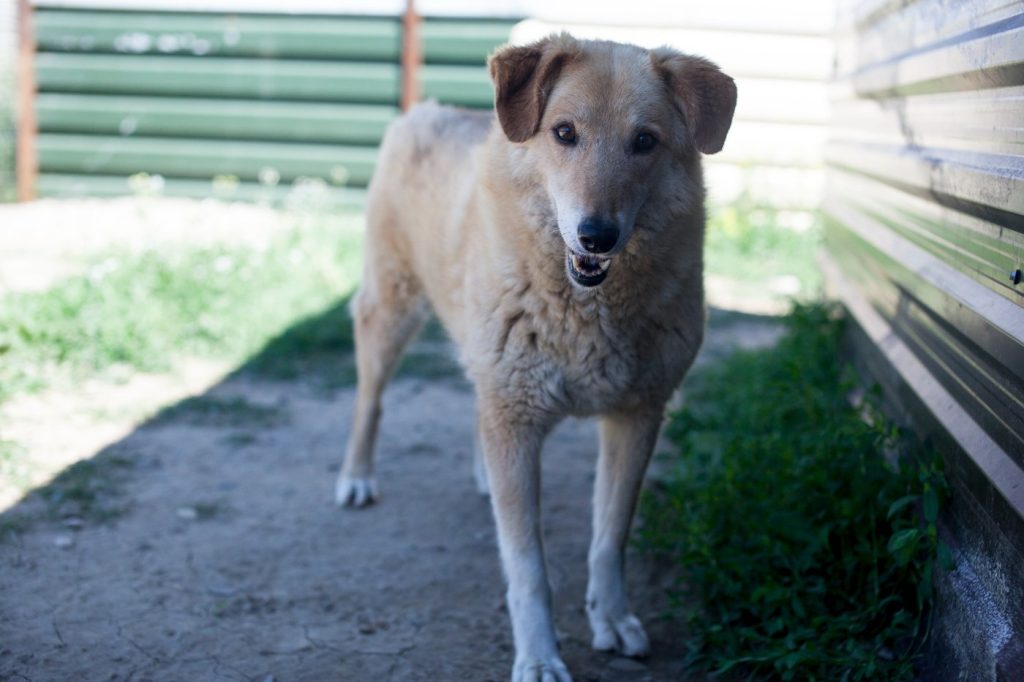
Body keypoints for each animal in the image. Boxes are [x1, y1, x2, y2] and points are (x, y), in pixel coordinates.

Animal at [335, 33, 737, 679]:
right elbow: (528, 569)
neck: (587, 312)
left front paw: (611, 618)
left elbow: (609, 540)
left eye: (645, 141)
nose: (597, 235)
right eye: (564, 132)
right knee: (369, 401)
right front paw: (540, 655)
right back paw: (356, 477)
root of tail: (427, 111)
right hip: (390, 311)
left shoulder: (637, 416)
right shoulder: (518, 420)